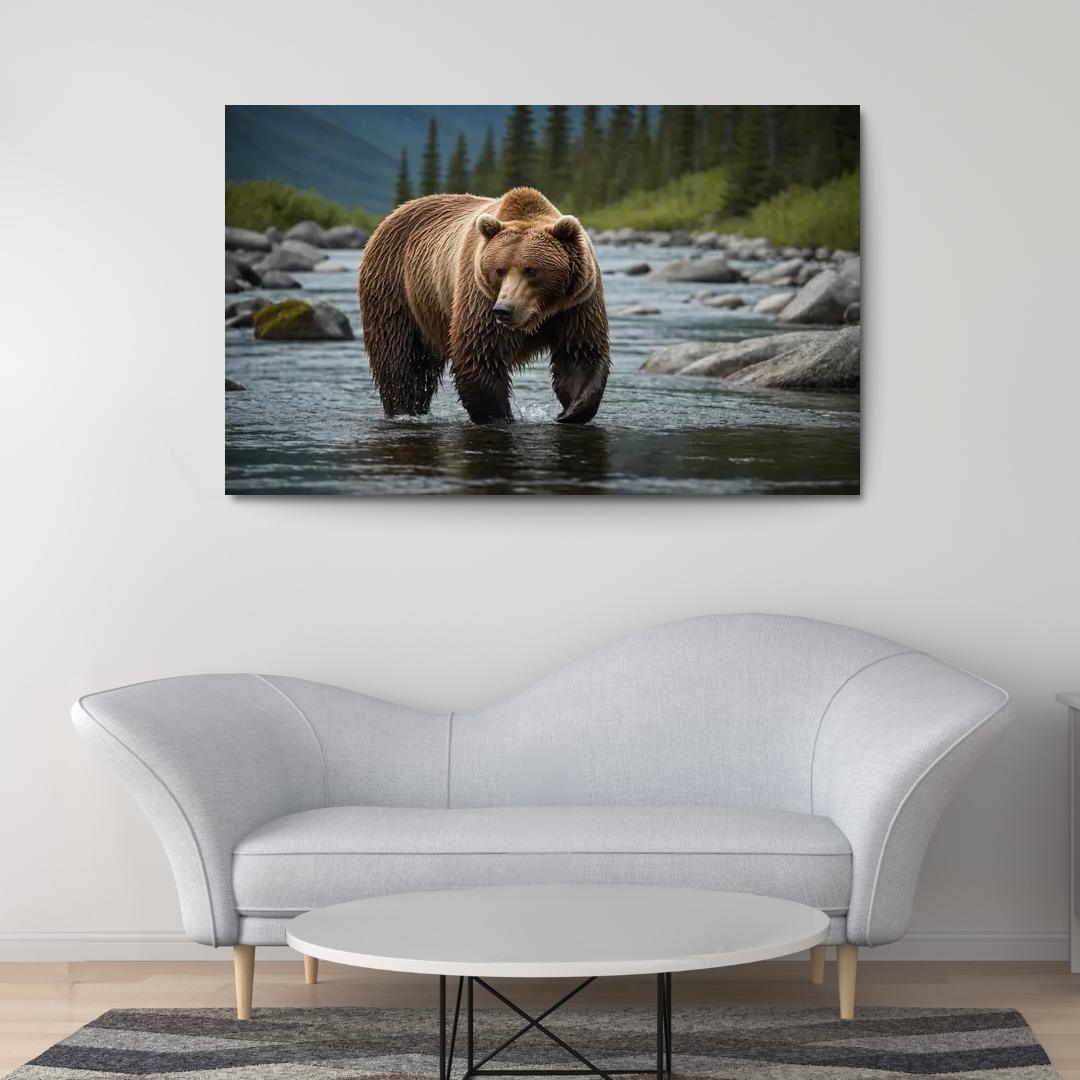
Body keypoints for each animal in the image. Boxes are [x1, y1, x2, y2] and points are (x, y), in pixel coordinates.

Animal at [357, 187, 610, 424]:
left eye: (531, 270)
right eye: (499, 269)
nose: (504, 310)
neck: (540, 312)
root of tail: (393, 214)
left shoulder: (576, 304)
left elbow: (578, 354)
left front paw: (570, 412)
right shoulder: (479, 296)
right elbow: (480, 354)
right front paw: (500, 416)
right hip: (396, 288)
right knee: (401, 359)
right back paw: (403, 409)